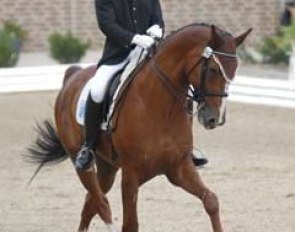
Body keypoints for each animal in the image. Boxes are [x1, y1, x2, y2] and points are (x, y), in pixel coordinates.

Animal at [27, 24, 252, 232]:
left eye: (233, 72)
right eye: (213, 69)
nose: (215, 119)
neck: (161, 107)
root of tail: (73, 75)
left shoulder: (179, 167)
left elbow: (211, 201)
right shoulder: (131, 174)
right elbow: (130, 224)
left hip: (107, 168)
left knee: (90, 205)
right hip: (81, 162)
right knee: (101, 203)